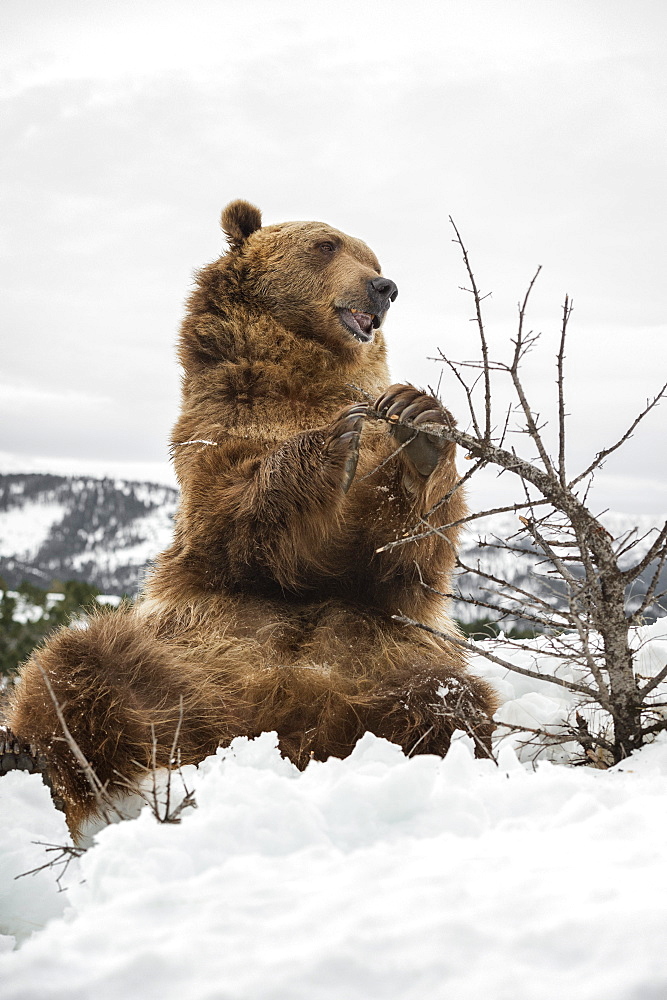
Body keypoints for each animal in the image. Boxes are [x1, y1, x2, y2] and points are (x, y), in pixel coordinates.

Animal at [3, 201, 496, 836]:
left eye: (372, 255)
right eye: (327, 245)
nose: (384, 286)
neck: (300, 378)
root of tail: (266, 715)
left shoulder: (376, 580)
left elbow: (397, 561)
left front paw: (420, 425)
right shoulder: (217, 432)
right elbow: (241, 525)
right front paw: (332, 440)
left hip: (376, 654)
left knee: (442, 695)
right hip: (182, 650)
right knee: (76, 666)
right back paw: (33, 753)